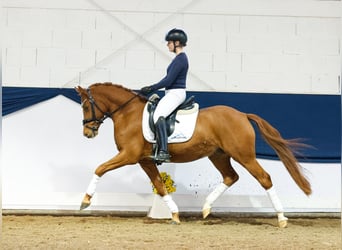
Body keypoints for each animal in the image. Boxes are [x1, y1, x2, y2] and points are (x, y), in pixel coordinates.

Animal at [76, 83, 312, 228]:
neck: (128, 113)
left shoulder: (129, 155)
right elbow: (160, 186)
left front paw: (85, 201)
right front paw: (174, 214)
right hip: (218, 155)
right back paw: (206, 208)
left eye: (86, 106)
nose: (88, 133)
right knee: (231, 176)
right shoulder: (144, 160)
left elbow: (99, 168)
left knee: (264, 178)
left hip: (244, 155)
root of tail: (242, 115)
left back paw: (282, 219)